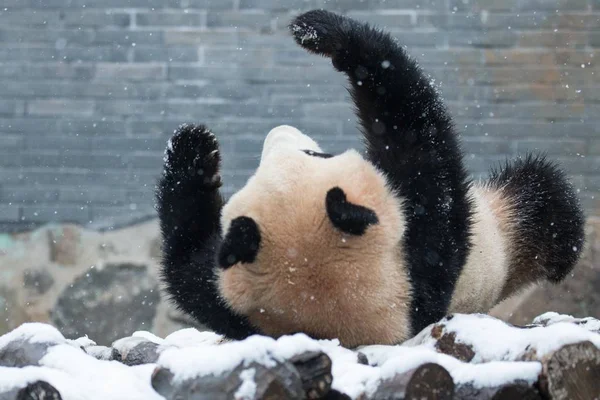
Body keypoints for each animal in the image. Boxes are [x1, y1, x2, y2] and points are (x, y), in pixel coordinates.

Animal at [156, 8, 584, 346]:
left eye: (314, 152)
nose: (278, 130)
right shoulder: (419, 260)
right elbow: (418, 138)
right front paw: (337, 36)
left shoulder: (232, 303)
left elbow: (188, 267)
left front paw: (193, 150)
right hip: (504, 232)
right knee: (541, 198)